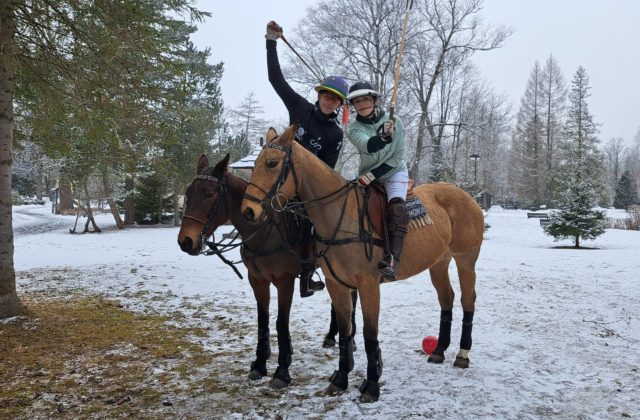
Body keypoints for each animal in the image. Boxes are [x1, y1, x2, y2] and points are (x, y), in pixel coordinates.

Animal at [175, 153, 356, 388]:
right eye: (188, 193)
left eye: (209, 194)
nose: (186, 241)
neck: (265, 231)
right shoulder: (257, 280)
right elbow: (263, 321)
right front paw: (260, 364)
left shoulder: (285, 281)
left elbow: (281, 323)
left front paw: (282, 371)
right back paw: (332, 336)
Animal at [241, 125, 484, 404]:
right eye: (254, 164)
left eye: (272, 163)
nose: (248, 211)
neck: (338, 216)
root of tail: (468, 195)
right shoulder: (337, 284)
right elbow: (346, 332)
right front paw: (340, 379)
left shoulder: (368, 285)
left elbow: (369, 334)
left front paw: (371, 385)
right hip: (438, 263)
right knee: (447, 298)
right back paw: (440, 349)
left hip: (466, 259)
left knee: (468, 299)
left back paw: (462, 354)